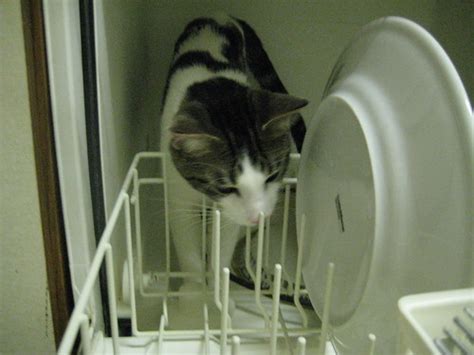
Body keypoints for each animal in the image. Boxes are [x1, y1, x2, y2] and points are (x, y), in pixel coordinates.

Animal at [159, 14, 308, 304]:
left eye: (272, 176)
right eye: (226, 187)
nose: (258, 217)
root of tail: (220, 15)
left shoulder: (230, 215)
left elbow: (222, 250)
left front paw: (218, 292)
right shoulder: (178, 196)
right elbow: (188, 251)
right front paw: (194, 295)